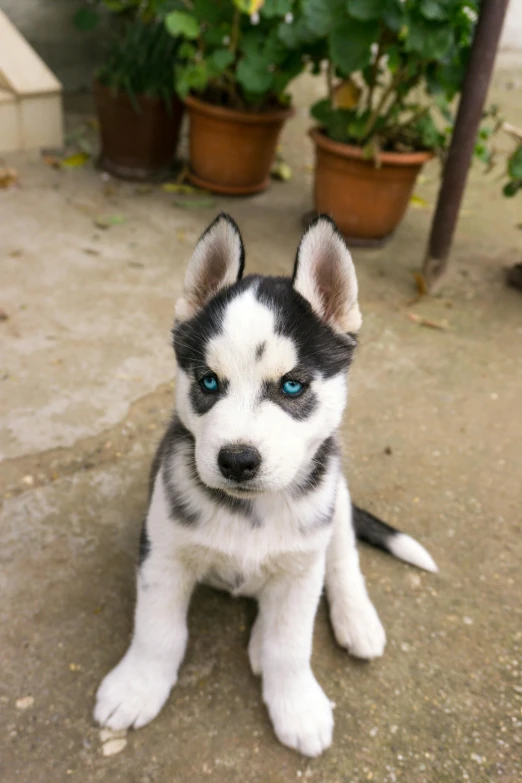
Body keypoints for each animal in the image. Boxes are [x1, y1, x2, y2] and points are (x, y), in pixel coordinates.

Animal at [93, 214, 434, 760]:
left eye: (292, 385)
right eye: (208, 382)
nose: (236, 461)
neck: (250, 514)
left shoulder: (302, 566)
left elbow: (290, 644)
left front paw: (297, 705)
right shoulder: (162, 552)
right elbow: (158, 631)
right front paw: (137, 686)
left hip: (336, 501)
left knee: (342, 561)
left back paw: (355, 619)